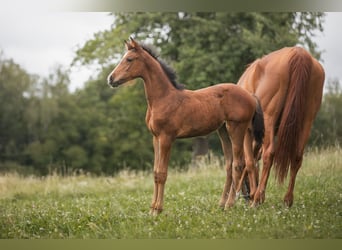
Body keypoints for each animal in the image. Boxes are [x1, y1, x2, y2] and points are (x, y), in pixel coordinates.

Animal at [107, 37, 264, 215]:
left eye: (129, 59)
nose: (110, 79)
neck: (163, 99)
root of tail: (250, 96)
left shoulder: (167, 137)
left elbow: (162, 173)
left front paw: (158, 209)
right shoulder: (156, 138)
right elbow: (155, 173)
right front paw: (152, 209)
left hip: (236, 128)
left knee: (238, 164)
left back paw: (229, 205)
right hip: (223, 131)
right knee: (229, 166)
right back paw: (221, 204)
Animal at [236, 47, 324, 207]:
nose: (245, 196)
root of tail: (298, 52)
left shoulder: (247, 132)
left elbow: (250, 162)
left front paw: (254, 194)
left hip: (269, 118)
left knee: (269, 154)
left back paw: (257, 198)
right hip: (307, 121)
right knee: (297, 156)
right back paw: (287, 200)